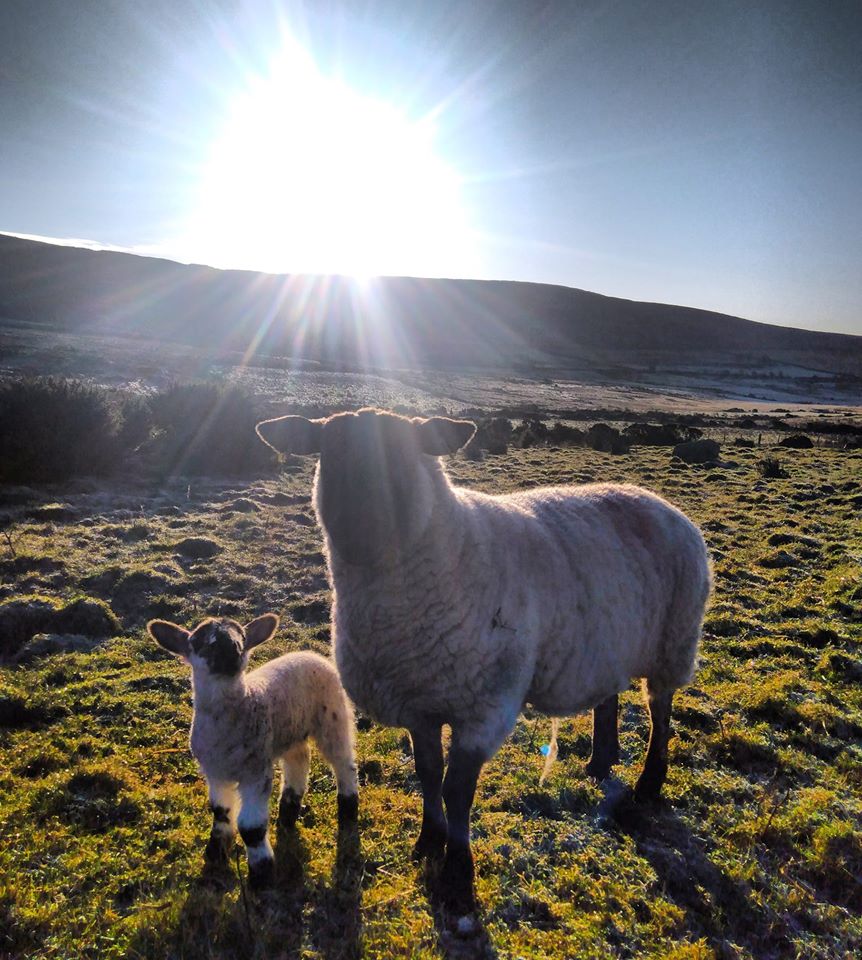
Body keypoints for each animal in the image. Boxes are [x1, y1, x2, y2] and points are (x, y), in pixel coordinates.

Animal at [146, 613, 359, 889]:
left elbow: (251, 828)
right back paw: (288, 811)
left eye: (243, 637)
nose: (231, 649)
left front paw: (262, 873)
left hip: (333, 715)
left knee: (344, 762)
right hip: (288, 730)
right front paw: (215, 852)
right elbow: (221, 812)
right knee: (299, 759)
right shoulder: (214, 772)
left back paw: (348, 808)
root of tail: (309, 653)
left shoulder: (255, 771)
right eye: (198, 641)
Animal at [255, 408, 712, 913]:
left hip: (674, 641)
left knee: (660, 711)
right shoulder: (419, 702)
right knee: (608, 696)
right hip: (605, 642)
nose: (359, 535)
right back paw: (599, 760)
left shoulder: (484, 708)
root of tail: (660, 501)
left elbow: (457, 789)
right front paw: (428, 842)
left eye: (402, 457)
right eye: (328, 454)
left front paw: (458, 870)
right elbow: (428, 775)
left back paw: (649, 783)